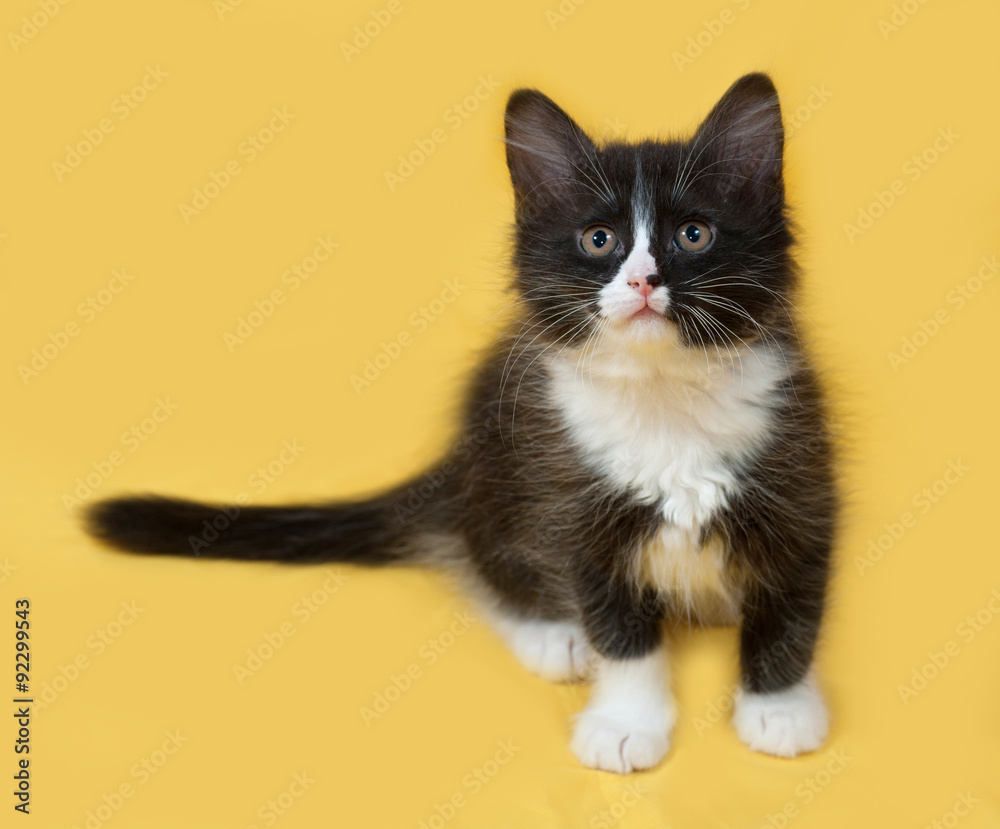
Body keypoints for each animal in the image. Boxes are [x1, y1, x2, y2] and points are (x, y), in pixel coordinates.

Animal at [86, 74, 836, 772]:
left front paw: (778, 708)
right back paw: (551, 633)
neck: (664, 398)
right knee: (483, 555)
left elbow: (791, 607)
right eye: (599, 240)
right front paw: (626, 723)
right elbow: (619, 630)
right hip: (497, 478)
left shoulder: (802, 475)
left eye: (694, 235)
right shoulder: (569, 502)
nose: (643, 281)